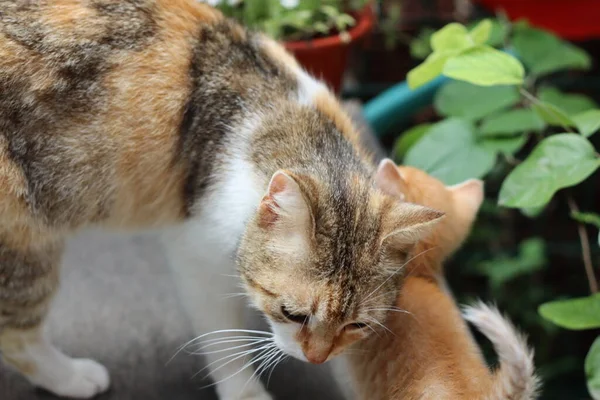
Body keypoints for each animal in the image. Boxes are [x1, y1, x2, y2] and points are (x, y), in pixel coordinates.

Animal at [0, 1, 442, 398]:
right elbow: (223, 336)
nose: (317, 358)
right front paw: (245, 390)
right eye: (293, 313)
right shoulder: (197, 252)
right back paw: (72, 378)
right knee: (16, 335)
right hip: (25, 242)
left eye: (358, 326)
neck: (286, 120)